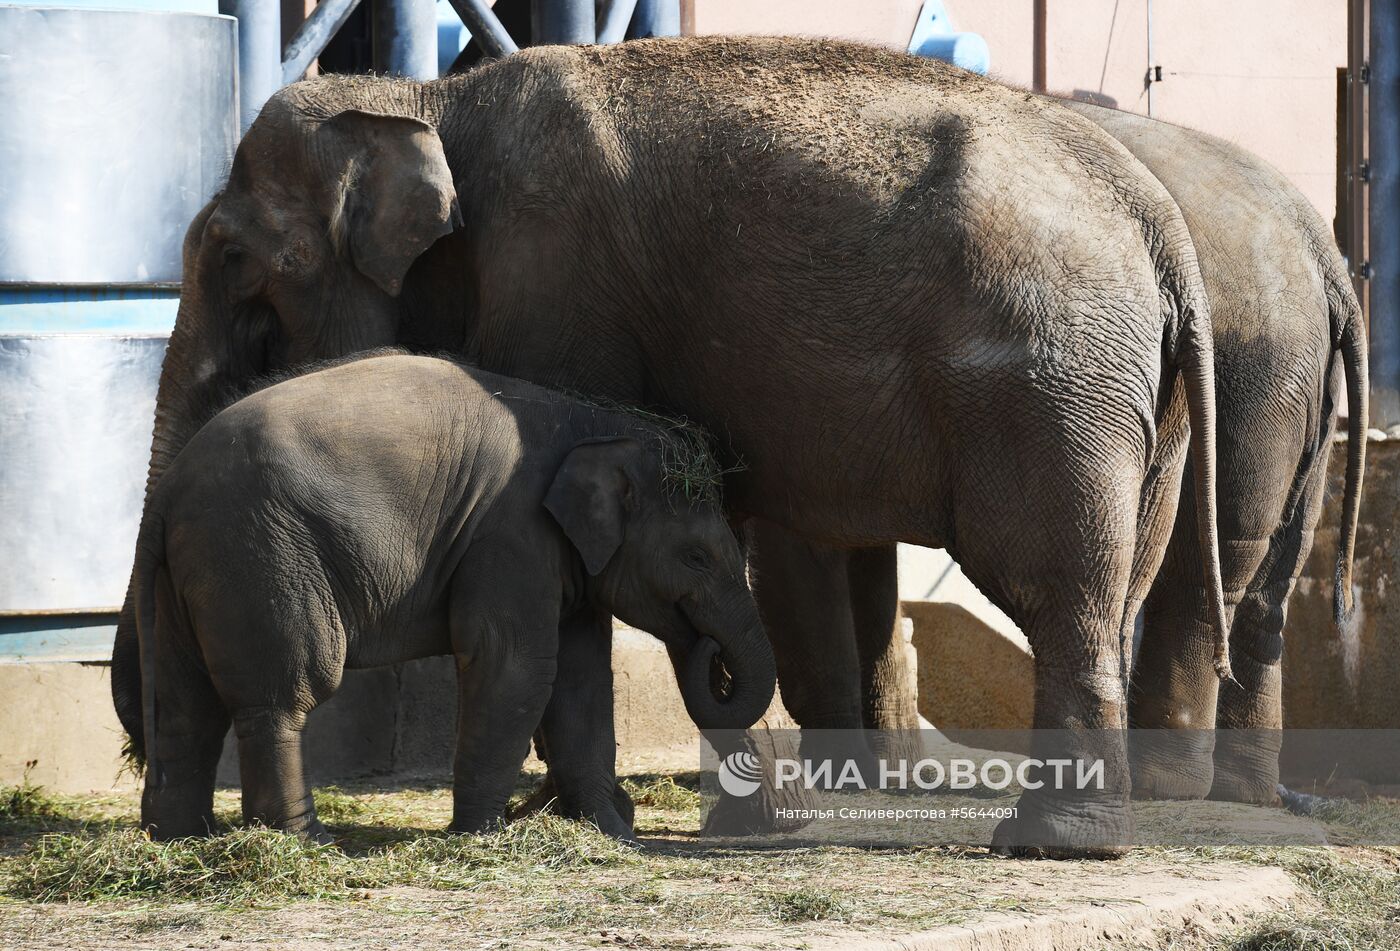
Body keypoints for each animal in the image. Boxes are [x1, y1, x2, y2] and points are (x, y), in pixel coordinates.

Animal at [133, 355, 778, 840]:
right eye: (697, 557)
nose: (707, 648)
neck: (595, 422)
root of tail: (165, 492)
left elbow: (583, 677)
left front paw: (612, 834)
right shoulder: (512, 533)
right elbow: (516, 664)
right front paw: (483, 836)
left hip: (194, 572)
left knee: (183, 703)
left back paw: (179, 839)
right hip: (259, 554)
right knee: (286, 694)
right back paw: (305, 842)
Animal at [817, 102, 1366, 801]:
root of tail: (1321, 251)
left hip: (1253, 373)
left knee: (1209, 551)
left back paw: (1165, 784)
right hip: (1301, 383)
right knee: (1272, 570)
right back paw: (1241, 790)